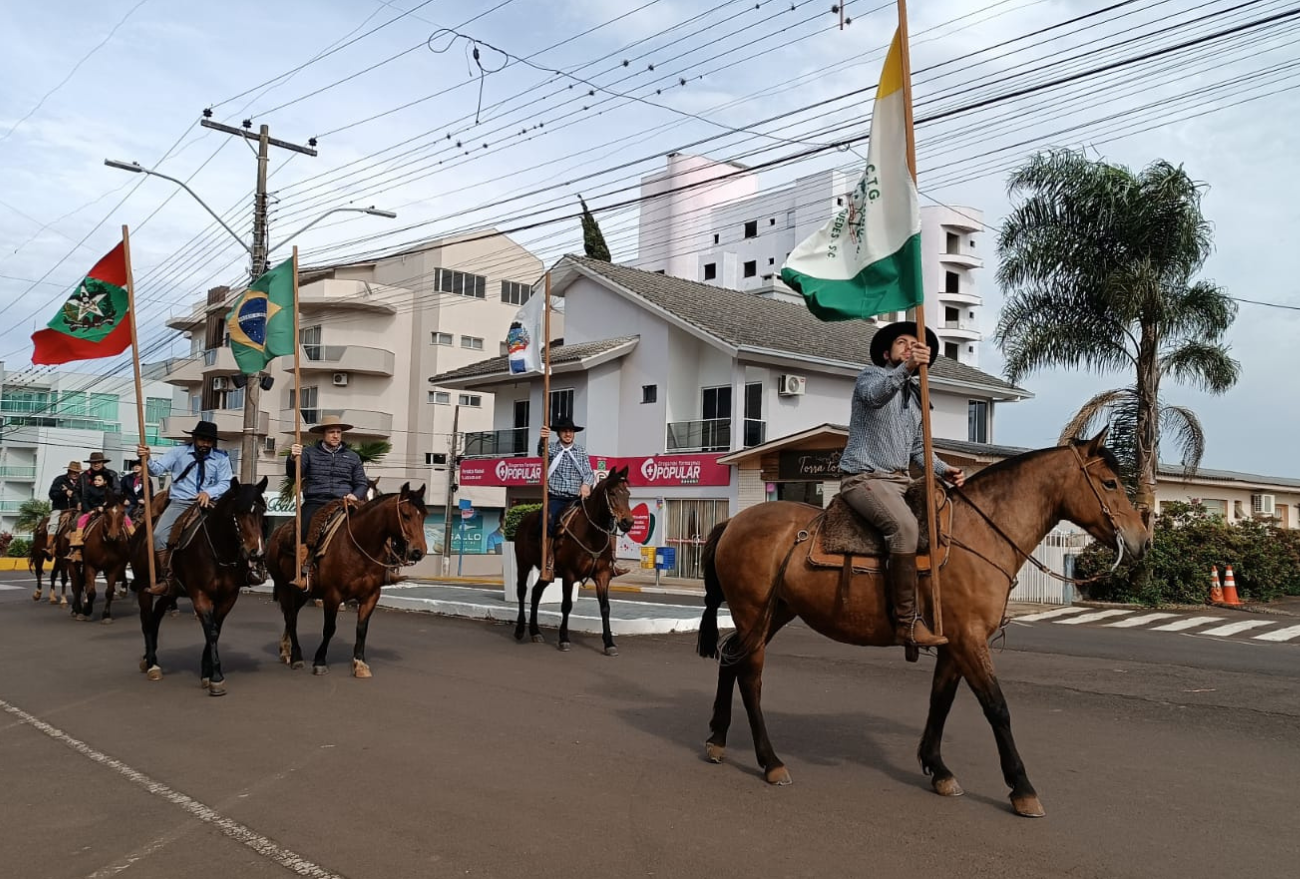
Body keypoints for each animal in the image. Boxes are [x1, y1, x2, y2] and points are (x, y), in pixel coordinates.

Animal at [71, 491, 134, 621]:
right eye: (106, 512)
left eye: (123, 512)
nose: (113, 536)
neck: (107, 544)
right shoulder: (90, 566)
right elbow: (91, 592)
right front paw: (86, 611)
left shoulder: (115, 567)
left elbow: (109, 591)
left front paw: (106, 615)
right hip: (74, 563)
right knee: (76, 585)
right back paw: (77, 609)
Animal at [134, 478, 269, 696]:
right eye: (239, 512)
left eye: (262, 511)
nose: (256, 553)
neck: (218, 551)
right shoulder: (199, 595)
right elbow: (211, 631)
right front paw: (216, 678)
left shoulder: (228, 597)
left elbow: (215, 630)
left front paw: (206, 673)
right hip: (143, 587)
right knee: (146, 620)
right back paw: (153, 665)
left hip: (170, 592)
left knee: (156, 617)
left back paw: (148, 659)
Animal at [269, 483, 431, 676]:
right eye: (406, 515)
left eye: (424, 515)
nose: (418, 552)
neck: (359, 548)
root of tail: (276, 533)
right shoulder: (332, 595)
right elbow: (329, 629)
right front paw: (320, 661)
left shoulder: (371, 595)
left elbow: (362, 629)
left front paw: (360, 663)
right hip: (284, 587)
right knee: (291, 617)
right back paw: (296, 657)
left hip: (303, 592)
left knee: (291, 616)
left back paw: (285, 650)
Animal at [509, 470, 637, 655]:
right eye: (612, 493)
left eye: (627, 494)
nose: (628, 522)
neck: (591, 535)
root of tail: (524, 520)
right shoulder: (569, 575)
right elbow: (566, 605)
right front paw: (564, 639)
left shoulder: (602, 575)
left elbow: (605, 607)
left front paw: (609, 643)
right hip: (523, 564)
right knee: (521, 591)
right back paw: (520, 629)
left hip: (547, 574)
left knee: (535, 593)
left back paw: (535, 631)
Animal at [696, 431, 1154, 816]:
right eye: (1109, 483)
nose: (1140, 541)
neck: (981, 533)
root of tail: (733, 522)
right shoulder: (970, 641)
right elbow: (997, 708)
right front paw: (1022, 788)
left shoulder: (955, 643)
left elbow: (941, 701)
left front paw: (939, 770)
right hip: (754, 611)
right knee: (750, 677)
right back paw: (770, 762)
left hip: (771, 614)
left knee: (731, 658)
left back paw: (717, 740)